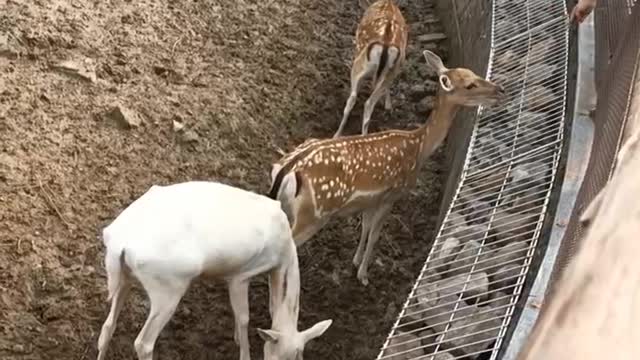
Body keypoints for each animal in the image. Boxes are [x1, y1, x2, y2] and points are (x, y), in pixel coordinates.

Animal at [266, 51, 504, 286]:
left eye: (473, 73)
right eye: (470, 85)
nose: (499, 90)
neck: (419, 147)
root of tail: (286, 170)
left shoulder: (372, 199)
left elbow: (365, 228)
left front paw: (355, 261)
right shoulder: (392, 194)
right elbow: (375, 235)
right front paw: (363, 275)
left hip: (287, 206)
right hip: (314, 214)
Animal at [332, 0, 408, 138]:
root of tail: (386, 43)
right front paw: (388, 106)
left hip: (360, 64)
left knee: (355, 99)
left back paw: (337, 135)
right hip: (394, 68)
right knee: (370, 100)